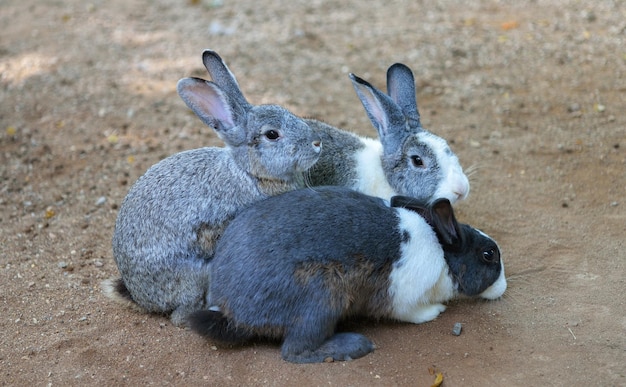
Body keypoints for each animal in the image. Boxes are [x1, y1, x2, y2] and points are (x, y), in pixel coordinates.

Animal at [105, 50, 320, 326]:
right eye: (272, 134)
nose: (317, 143)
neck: (249, 172)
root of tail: (141, 297)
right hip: (195, 275)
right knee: (180, 315)